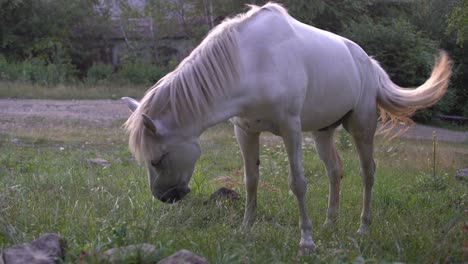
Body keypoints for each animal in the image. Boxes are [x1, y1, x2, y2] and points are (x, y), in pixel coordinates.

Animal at [122, 2, 452, 254]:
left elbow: (298, 183)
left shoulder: (290, 128)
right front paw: (246, 228)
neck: (251, 62)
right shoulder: (245, 131)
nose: (164, 197)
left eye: (157, 159)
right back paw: (330, 223)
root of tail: (368, 62)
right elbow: (251, 180)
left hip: (361, 126)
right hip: (323, 132)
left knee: (367, 172)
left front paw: (306, 241)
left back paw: (362, 228)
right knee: (335, 170)